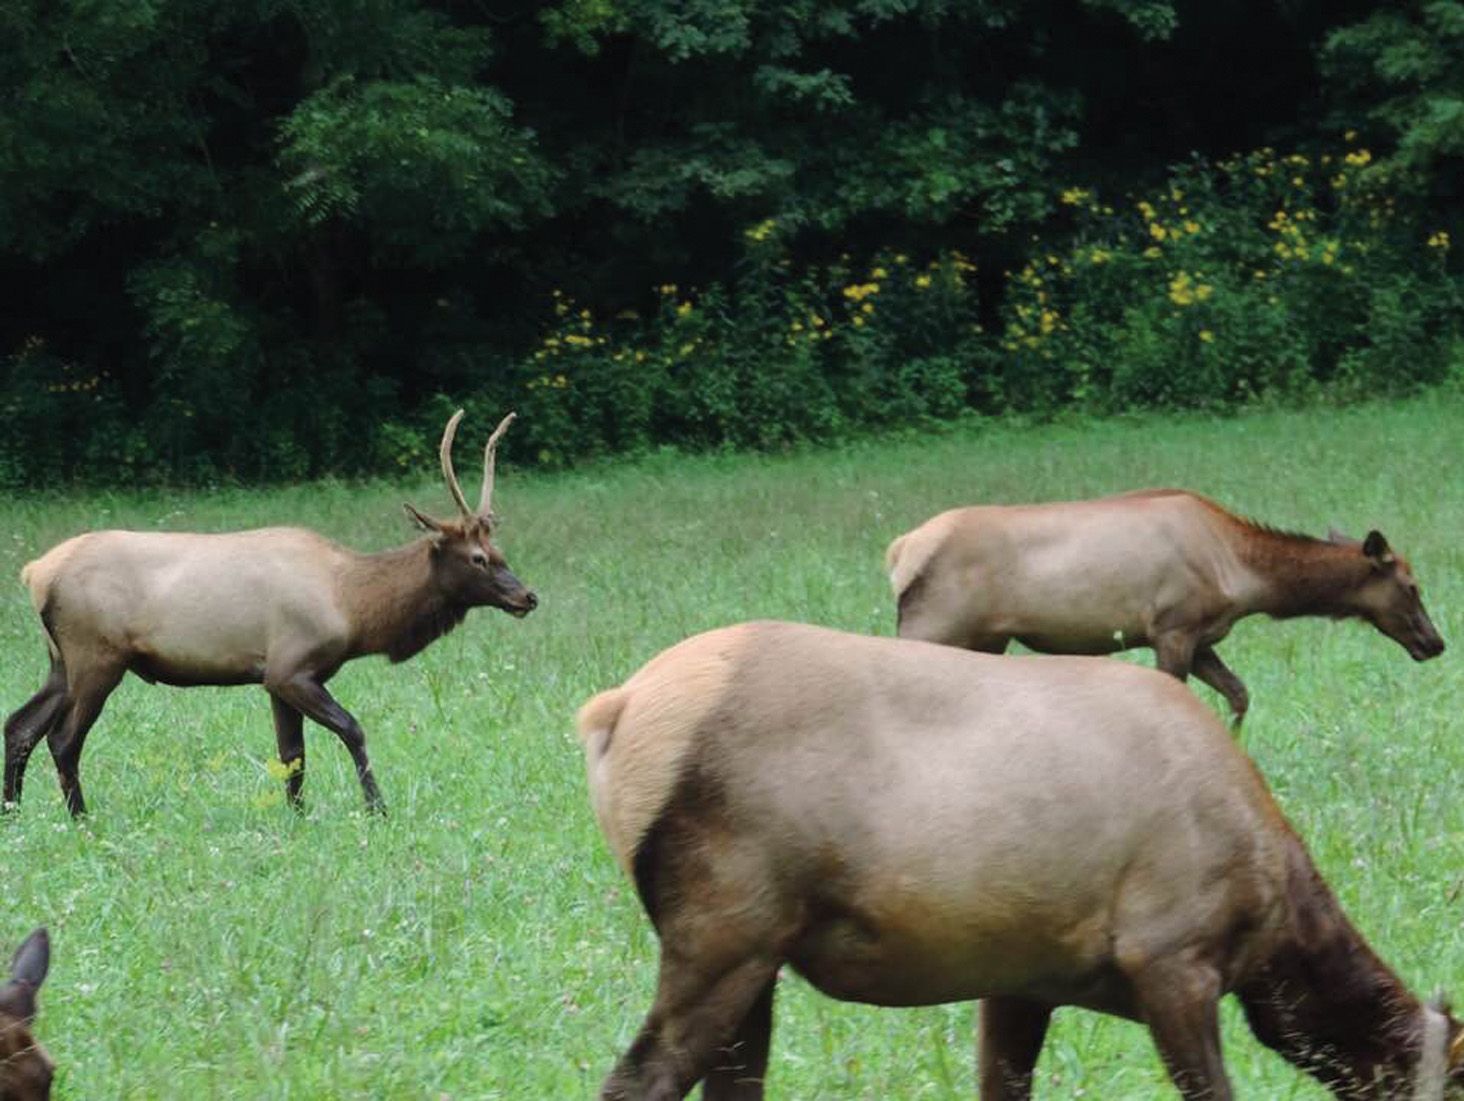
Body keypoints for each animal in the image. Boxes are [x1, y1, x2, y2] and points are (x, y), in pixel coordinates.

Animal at [3, 410, 537, 818]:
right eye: (478, 558)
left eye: (501, 551)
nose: (528, 597)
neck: (353, 606)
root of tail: (35, 573)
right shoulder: (290, 667)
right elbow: (350, 729)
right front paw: (377, 810)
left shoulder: (275, 678)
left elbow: (292, 756)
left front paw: (297, 818)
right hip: (97, 654)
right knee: (63, 739)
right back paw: (80, 819)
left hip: (60, 660)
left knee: (20, 726)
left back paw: (14, 813)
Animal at [578, 621, 1464, 1100]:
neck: (1278, 928)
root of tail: (610, 712)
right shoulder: (1172, 954)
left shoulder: (1024, 978)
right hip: (725, 932)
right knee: (637, 1078)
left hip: (758, 955)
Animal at [886, 489, 1445, 726]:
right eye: (1412, 586)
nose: (1435, 642)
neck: (1245, 577)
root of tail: (899, 552)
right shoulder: (1173, 627)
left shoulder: (1200, 638)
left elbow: (1239, 695)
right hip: (935, 625)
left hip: (986, 639)